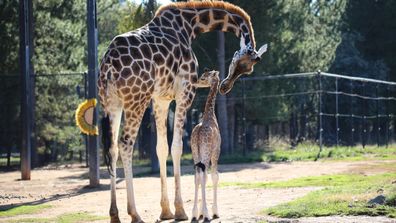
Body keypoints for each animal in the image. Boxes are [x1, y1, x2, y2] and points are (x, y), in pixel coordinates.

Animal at [97, 1, 268, 221]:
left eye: (247, 69)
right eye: (241, 63)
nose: (225, 86)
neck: (190, 25)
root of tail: (108, 65)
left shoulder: (160, 99)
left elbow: (161, 148)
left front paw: (166, 211)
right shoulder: (185, 91)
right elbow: (177, 147)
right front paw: (180, 210)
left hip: (111, 102)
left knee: (111, 148)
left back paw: (114, 214)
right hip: (136, 99)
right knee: (126, 144)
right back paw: (134, 214)